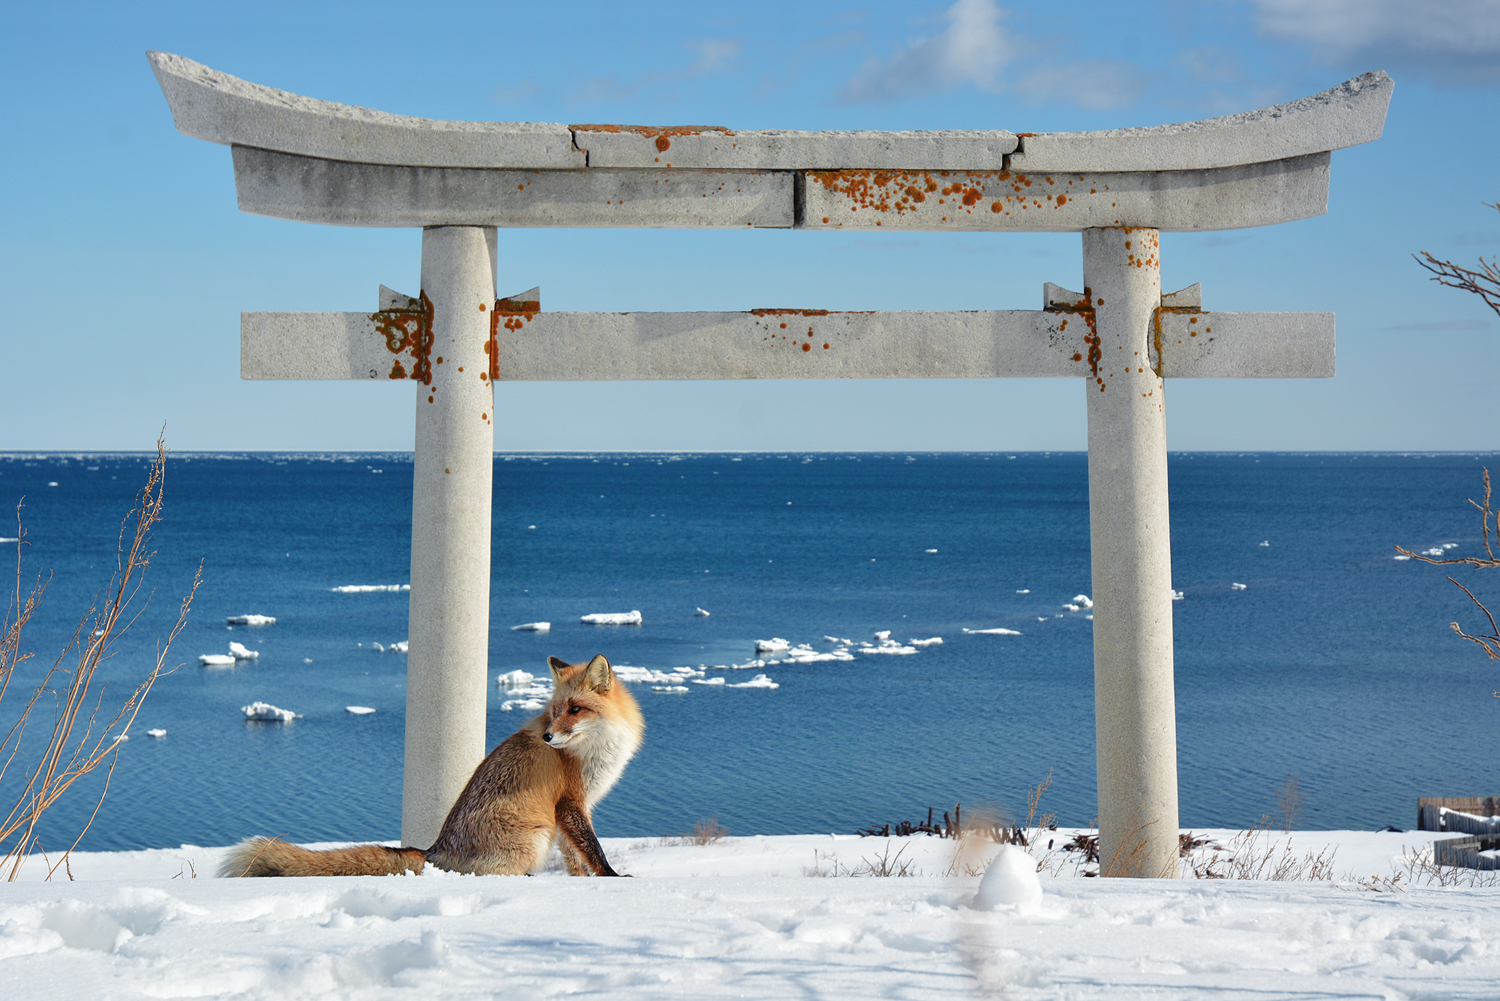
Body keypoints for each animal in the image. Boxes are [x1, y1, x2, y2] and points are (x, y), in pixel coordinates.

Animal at [219, 651, 642, 876]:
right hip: (534, 836)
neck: (596, 750)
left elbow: (576, 857)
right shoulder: (570, 804)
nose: (548, 738)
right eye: (554, 711)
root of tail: (434, 849)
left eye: (575, 709)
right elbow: (594, 850)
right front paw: (613, 879)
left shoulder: (572, 810)